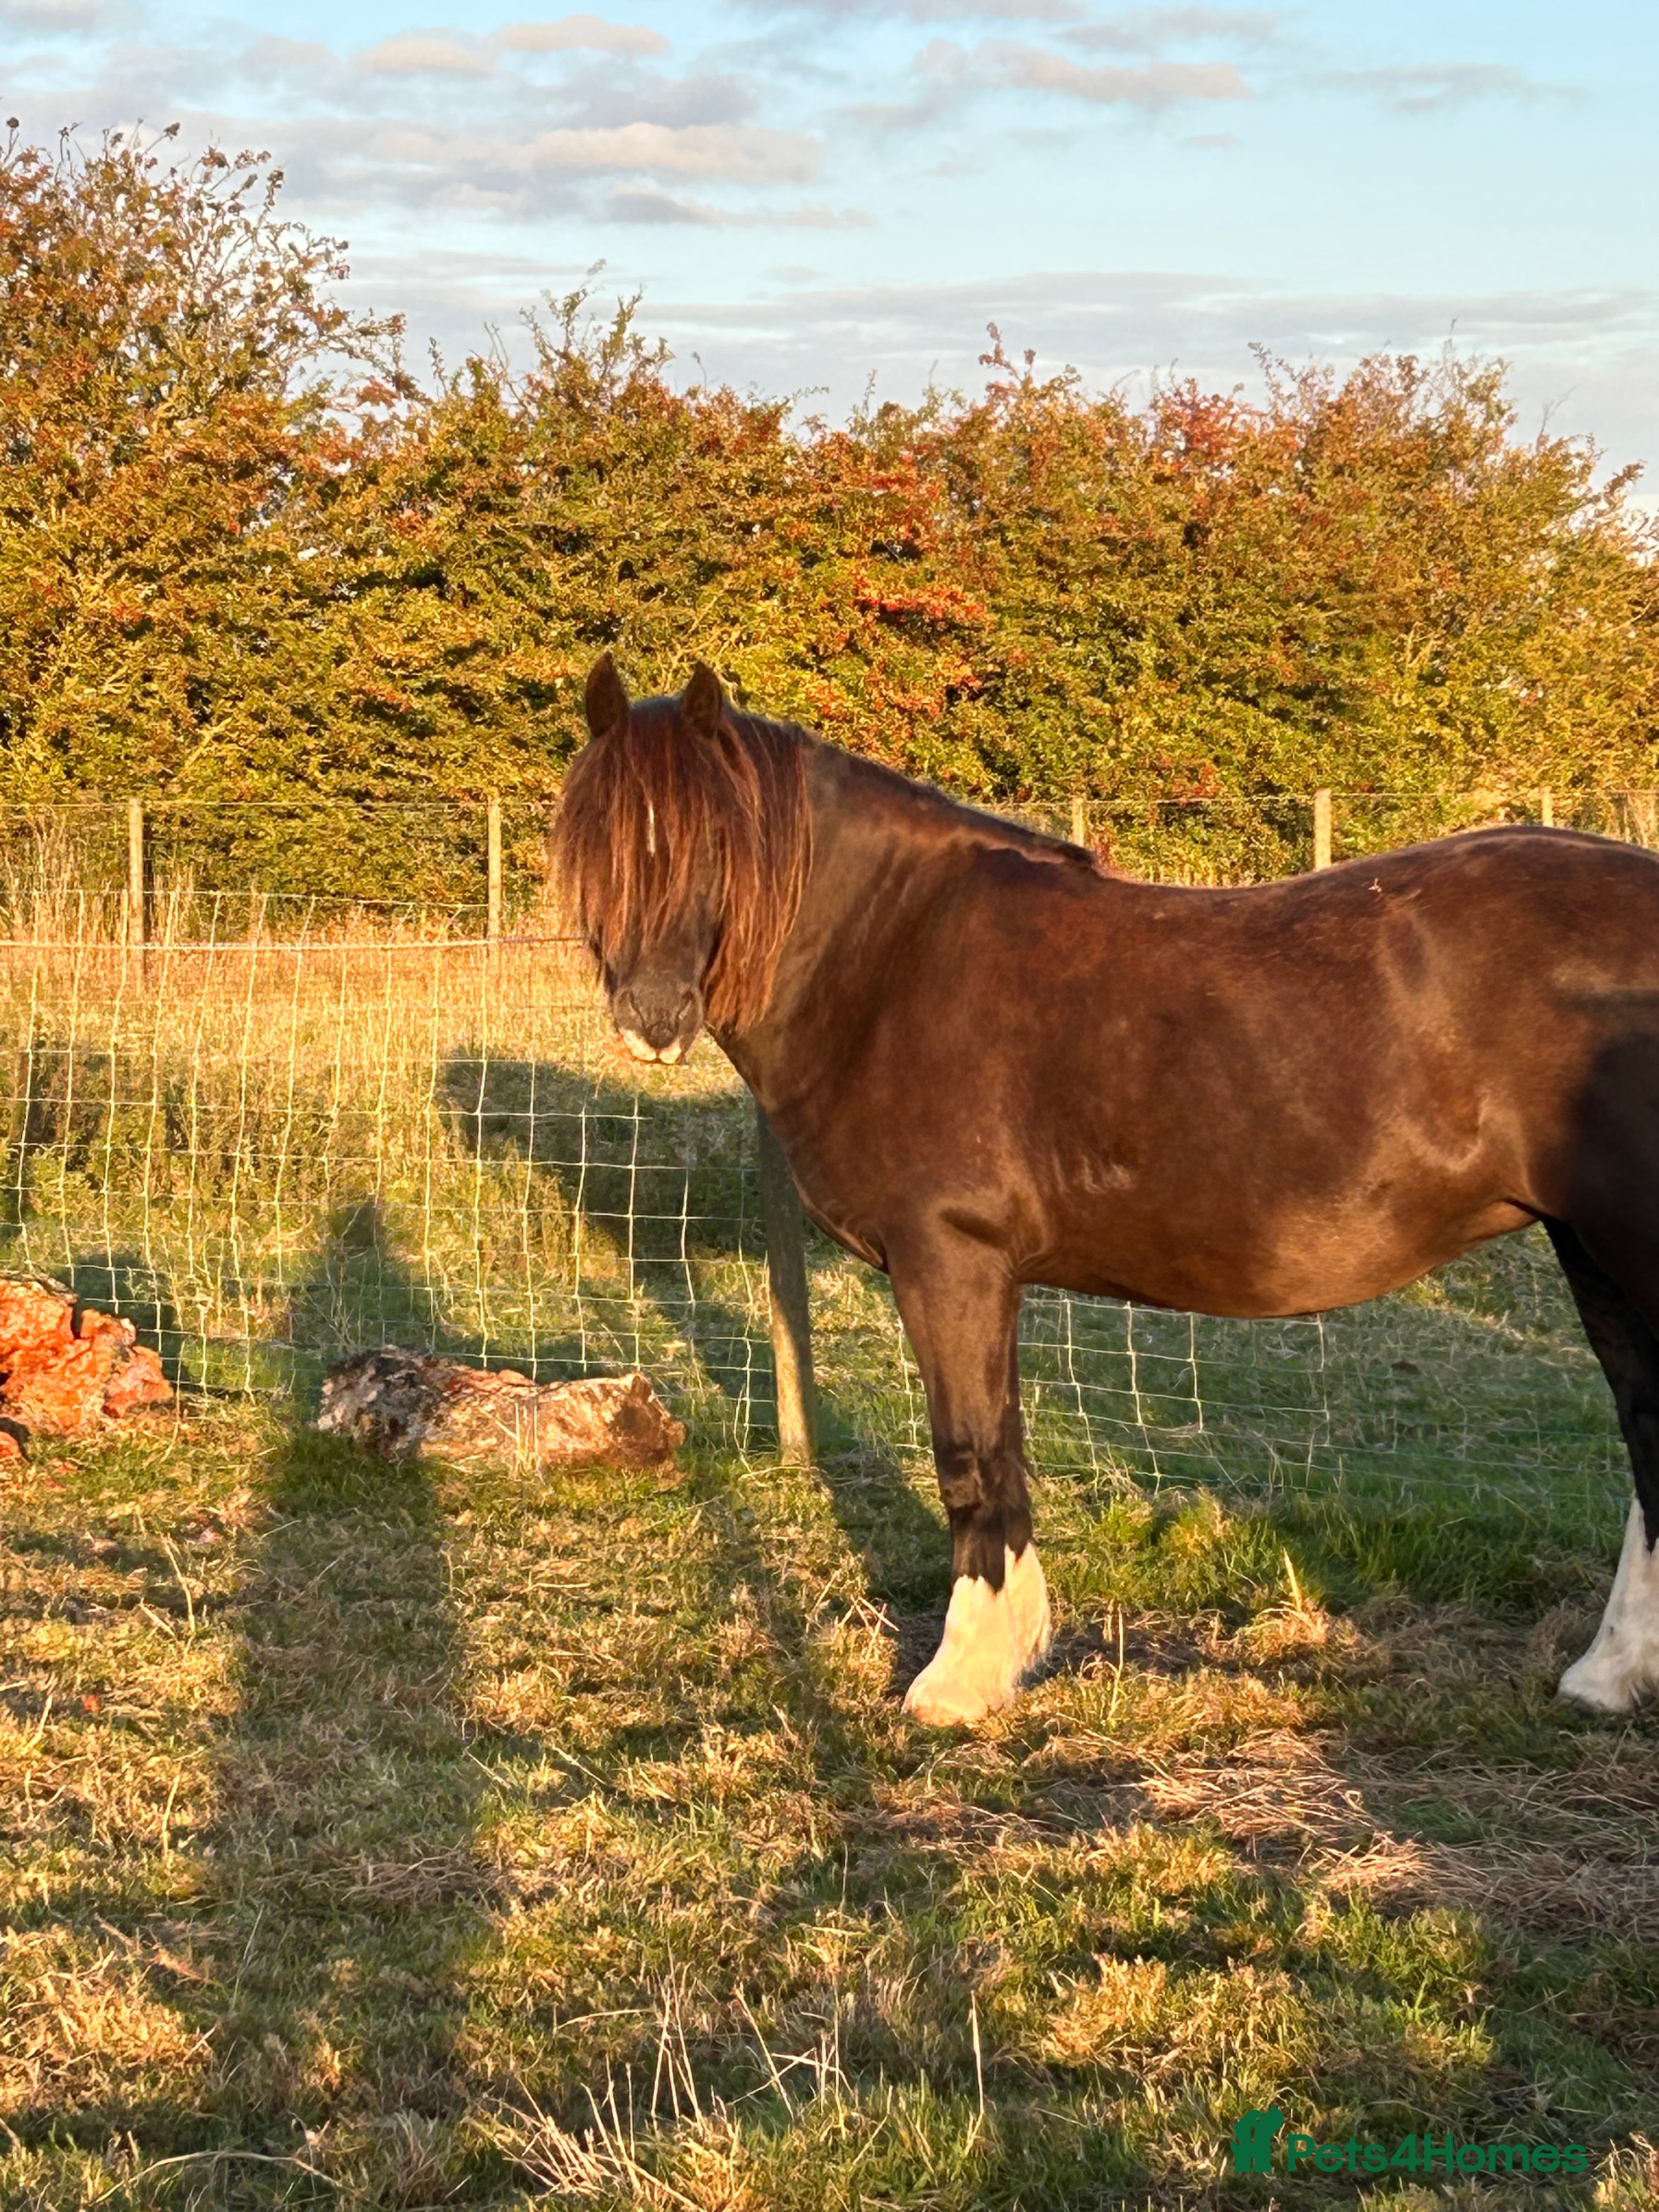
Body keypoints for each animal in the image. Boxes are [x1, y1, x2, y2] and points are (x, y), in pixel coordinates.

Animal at [553, 652, 1659, 1726]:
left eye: (712, 843)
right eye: (599, 848)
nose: (652, 1020)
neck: (892, 954)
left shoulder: (946, 1260)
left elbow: (967, 1455)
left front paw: (957, 1680)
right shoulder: (983, 1275)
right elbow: (1002, 1448)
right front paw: (1016, 1652)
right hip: (1594, 1255)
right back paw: (1606, 1677)